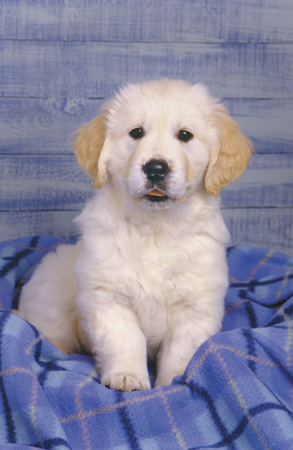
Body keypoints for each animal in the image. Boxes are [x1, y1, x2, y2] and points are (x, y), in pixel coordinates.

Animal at [17, 80, 252, 390]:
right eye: (136, 132)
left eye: (185, 135)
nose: (155, 169)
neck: (155, 227)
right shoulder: (107, 297)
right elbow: (126, 339)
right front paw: (127, 376)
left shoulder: (197, 306)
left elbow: (180, 354)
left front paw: (172, 383)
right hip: (51, 300)